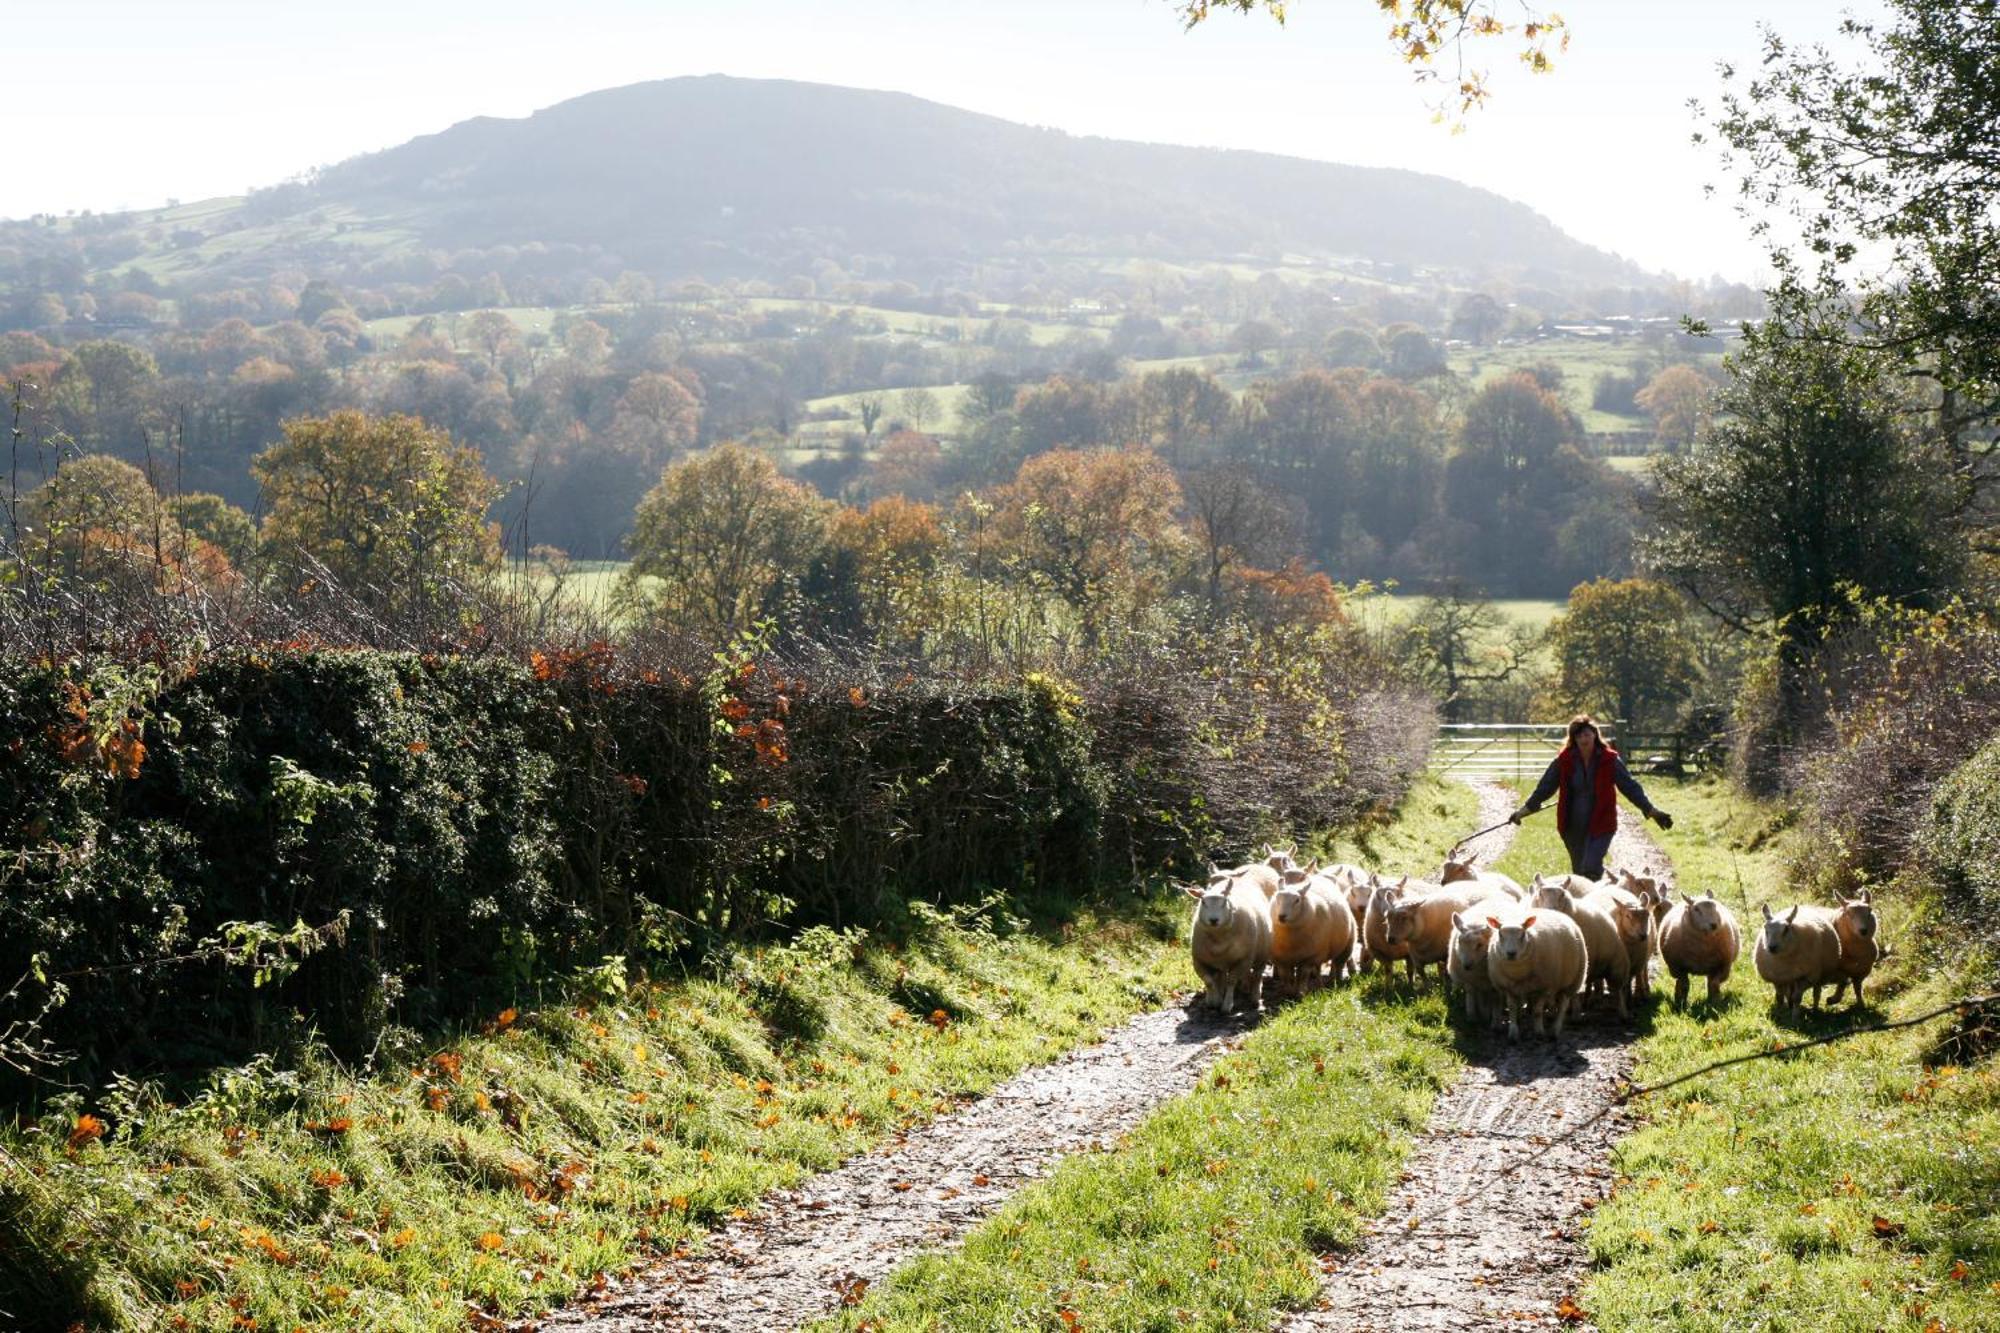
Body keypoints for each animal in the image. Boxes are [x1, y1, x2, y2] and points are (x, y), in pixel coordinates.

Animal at [1184, 868, 1264, 1012]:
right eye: (1203, 902)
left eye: (1224, 902)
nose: (1213, 920)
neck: (1218, 939)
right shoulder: (1198, 960)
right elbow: (1209, 981)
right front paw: (1214, 1001)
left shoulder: (1243, 960)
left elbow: (1232, 981)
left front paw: (1227, 1005)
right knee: (1222, 976)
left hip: (1261, 955)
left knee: (1257, 975)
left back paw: (1255, 997)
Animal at [1264, 860, 1360, 996]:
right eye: (1277, 898)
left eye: (1297, 900)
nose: (1281, 916)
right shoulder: (1282, 959)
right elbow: (1286, 976)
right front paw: (1288, 991)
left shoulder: (1310, 957)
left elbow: (1303, 975)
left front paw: (1301, 993)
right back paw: (1320, 984)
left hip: (1346, 946)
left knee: (1339, 964)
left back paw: (1335, 981)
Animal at [1488, 904, 1592, 1040]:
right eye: (1500, 934)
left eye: (1523, 934)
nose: (1511, 953)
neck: (1518, 972)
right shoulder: (1508, 987)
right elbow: (1512, 1009)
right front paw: (1513, 1033)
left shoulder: (1544, 987)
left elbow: (1537, 1012)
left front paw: (1539, 1032)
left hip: (1573, 980)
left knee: (1563, 1006)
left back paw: (1554, 1030)